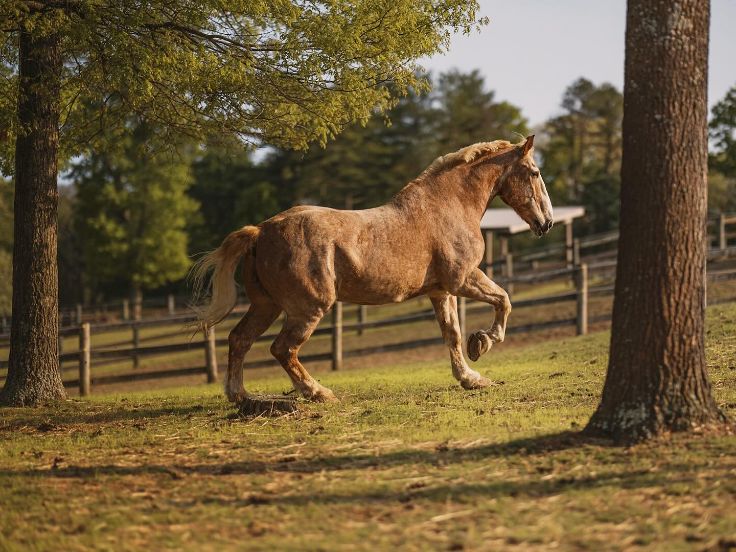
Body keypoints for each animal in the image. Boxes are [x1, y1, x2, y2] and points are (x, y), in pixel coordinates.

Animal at [191, 135, 553, 404]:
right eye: (535, 173)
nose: (546, 222)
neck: (448, 206)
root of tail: (261, 231)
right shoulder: (463, 279)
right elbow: (504, 300)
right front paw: (483, 343)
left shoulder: (441, 291)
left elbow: (451, 333)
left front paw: (471, 377)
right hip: (307, 308)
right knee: (282, 349)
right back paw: (319, 393)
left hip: (266, 305)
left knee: (239, 339)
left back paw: (240, 396)